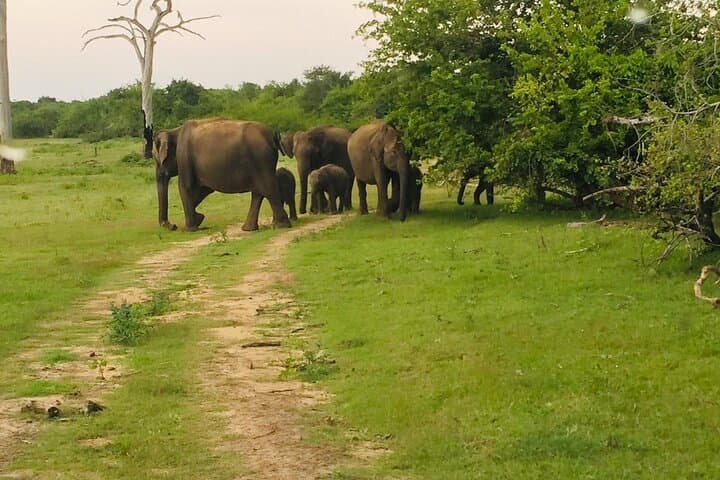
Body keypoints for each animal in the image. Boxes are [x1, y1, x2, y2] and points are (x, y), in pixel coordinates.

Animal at [152, 118, 291, 231]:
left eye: (155, 158)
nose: (172, 226)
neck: (174, 131)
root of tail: (272, 135)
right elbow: (204, 189)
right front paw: (199, 218)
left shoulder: (184, 157)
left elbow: (185, 187)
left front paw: (190, 228)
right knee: (258, 191)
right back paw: (249, 228)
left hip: (260, 158)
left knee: (267, 187)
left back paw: (280, 226)